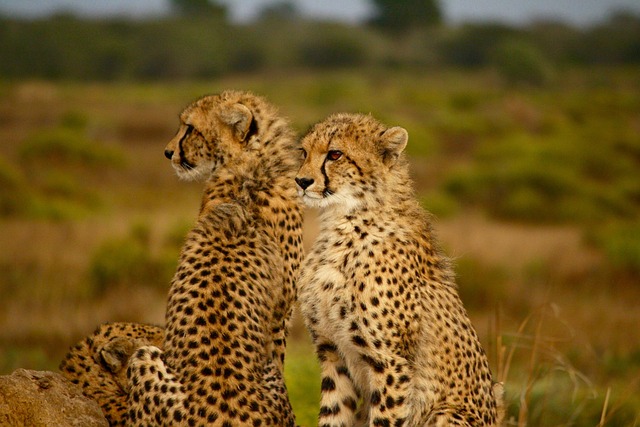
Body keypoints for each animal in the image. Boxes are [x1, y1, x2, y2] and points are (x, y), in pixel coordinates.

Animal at [296, 113, 504, 427]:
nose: (301, 181)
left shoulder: (391, 363)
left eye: (335, 154)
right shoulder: (332, 354)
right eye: (303, 152)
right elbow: (334, 415)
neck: (342, 222)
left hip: (445, 413)